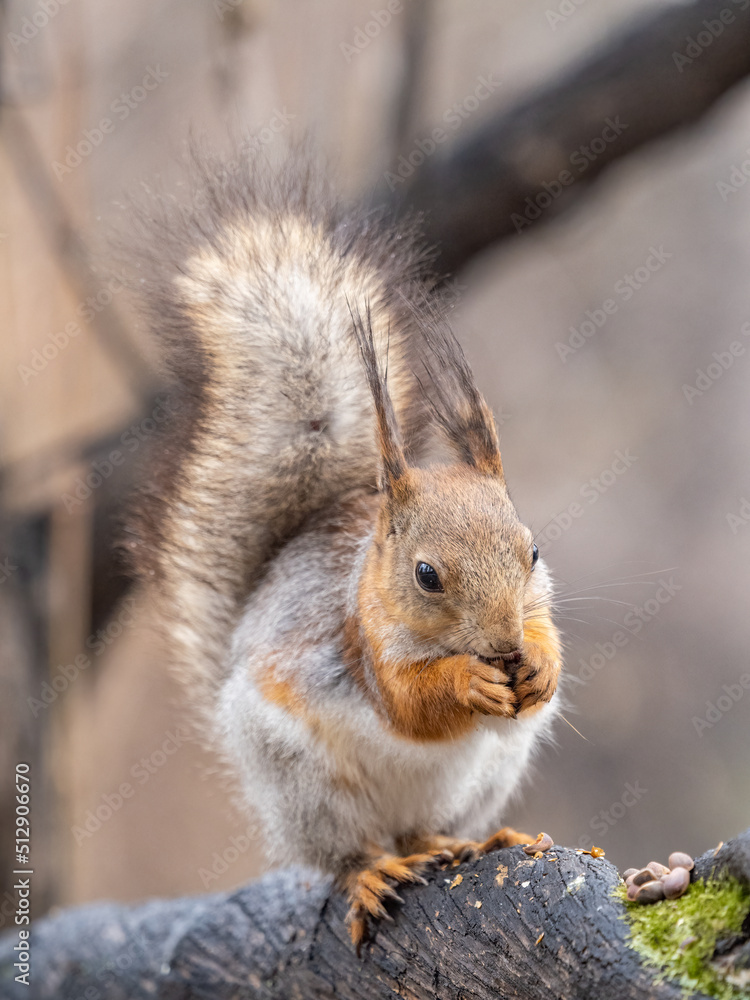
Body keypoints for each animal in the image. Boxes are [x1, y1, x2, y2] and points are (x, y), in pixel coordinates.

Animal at [125, 149, 563, 951]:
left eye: (535, 550)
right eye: (426, 575)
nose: (503, 646)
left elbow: (548, 641)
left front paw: (540, 666)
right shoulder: (363, 641)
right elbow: (410, 706)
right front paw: (467, 681)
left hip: (485, 775)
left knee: (424, 832)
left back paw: (469, 842)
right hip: (303, 784)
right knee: (351, 851)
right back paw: (372, 873)